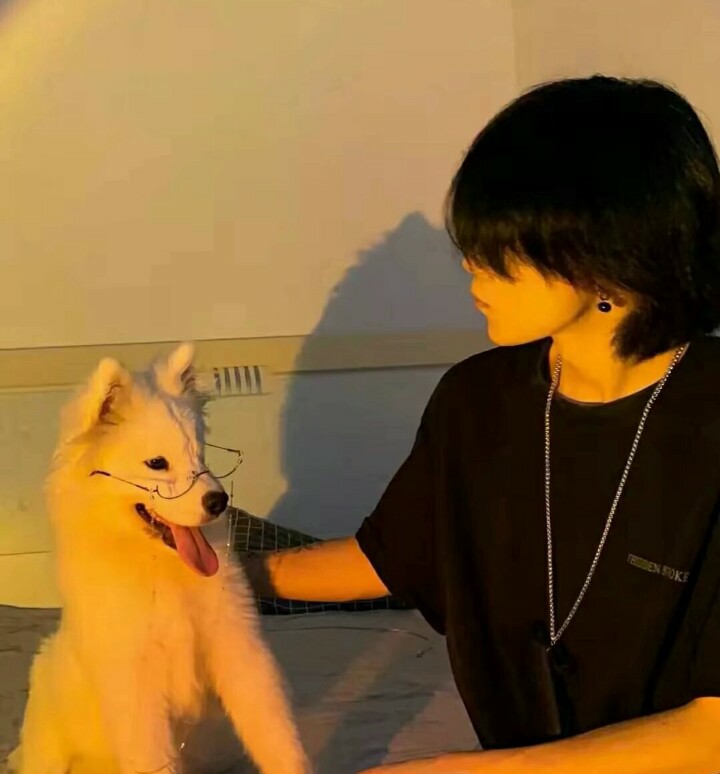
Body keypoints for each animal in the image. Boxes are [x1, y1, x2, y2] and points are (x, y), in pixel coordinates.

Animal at [9, 344, 310, 774]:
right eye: (157, 463)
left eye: (200, 456)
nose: (219, 501)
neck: (157, 568)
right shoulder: (137, 694)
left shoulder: (238, 652)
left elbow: (275, 734)